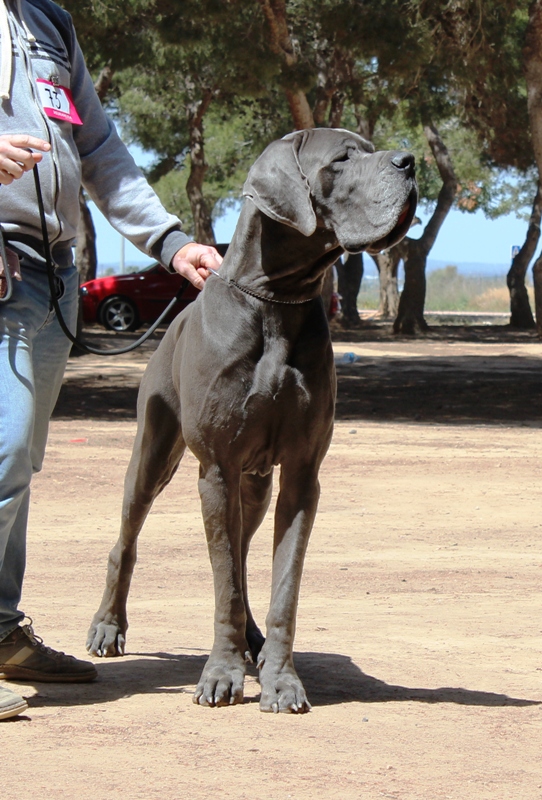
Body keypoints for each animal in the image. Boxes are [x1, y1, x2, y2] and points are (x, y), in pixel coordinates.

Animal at [87, 128, 418, 716]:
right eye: (343, 158)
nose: (411, 162)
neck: (276, 300)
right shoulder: (217, 467)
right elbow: (224, 586)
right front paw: (221, 673)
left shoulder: (302, 473)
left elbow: (282, 585)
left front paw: (281, 679)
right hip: (154, 455)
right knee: (128, 541)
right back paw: (108, 627)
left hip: (257, 485)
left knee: (240, 557)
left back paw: (254, 645)